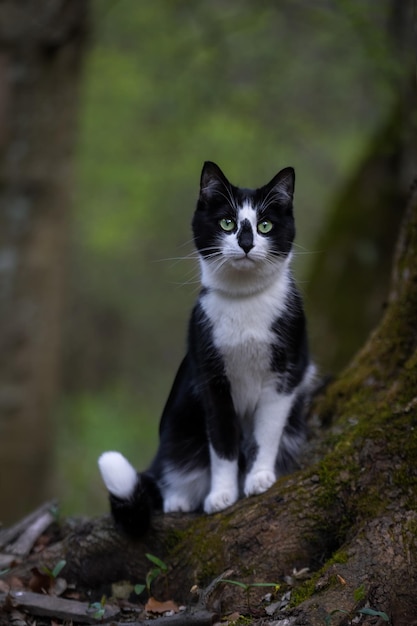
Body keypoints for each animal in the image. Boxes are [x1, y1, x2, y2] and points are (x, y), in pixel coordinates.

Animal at [97, 158, 314, 532]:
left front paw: (259, 477)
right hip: (179, 427)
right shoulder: (210, 374)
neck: (244, 303)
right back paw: (179, 499)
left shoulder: (286, 371)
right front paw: (222, 495)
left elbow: (267, 430)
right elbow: (223, 442)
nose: (246, 243)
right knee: (172, 467)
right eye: (227, 223)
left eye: (265, 225)